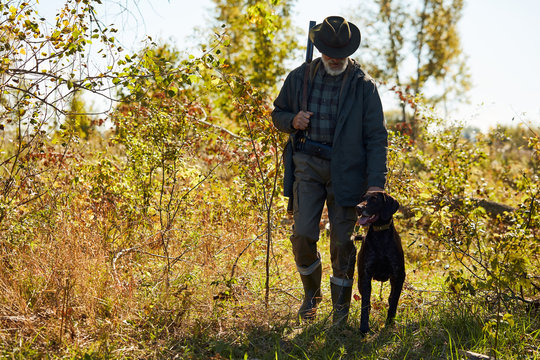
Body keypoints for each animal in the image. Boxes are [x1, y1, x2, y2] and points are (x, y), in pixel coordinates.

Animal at [354, 191, 404, 334]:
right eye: (362, 198)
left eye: (374, 199)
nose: (358, 207)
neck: (380, 233)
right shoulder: (365, 275)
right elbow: (365, 303)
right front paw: (364, 327)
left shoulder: (399, 276)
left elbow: (394, 301)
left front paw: (389, 323)